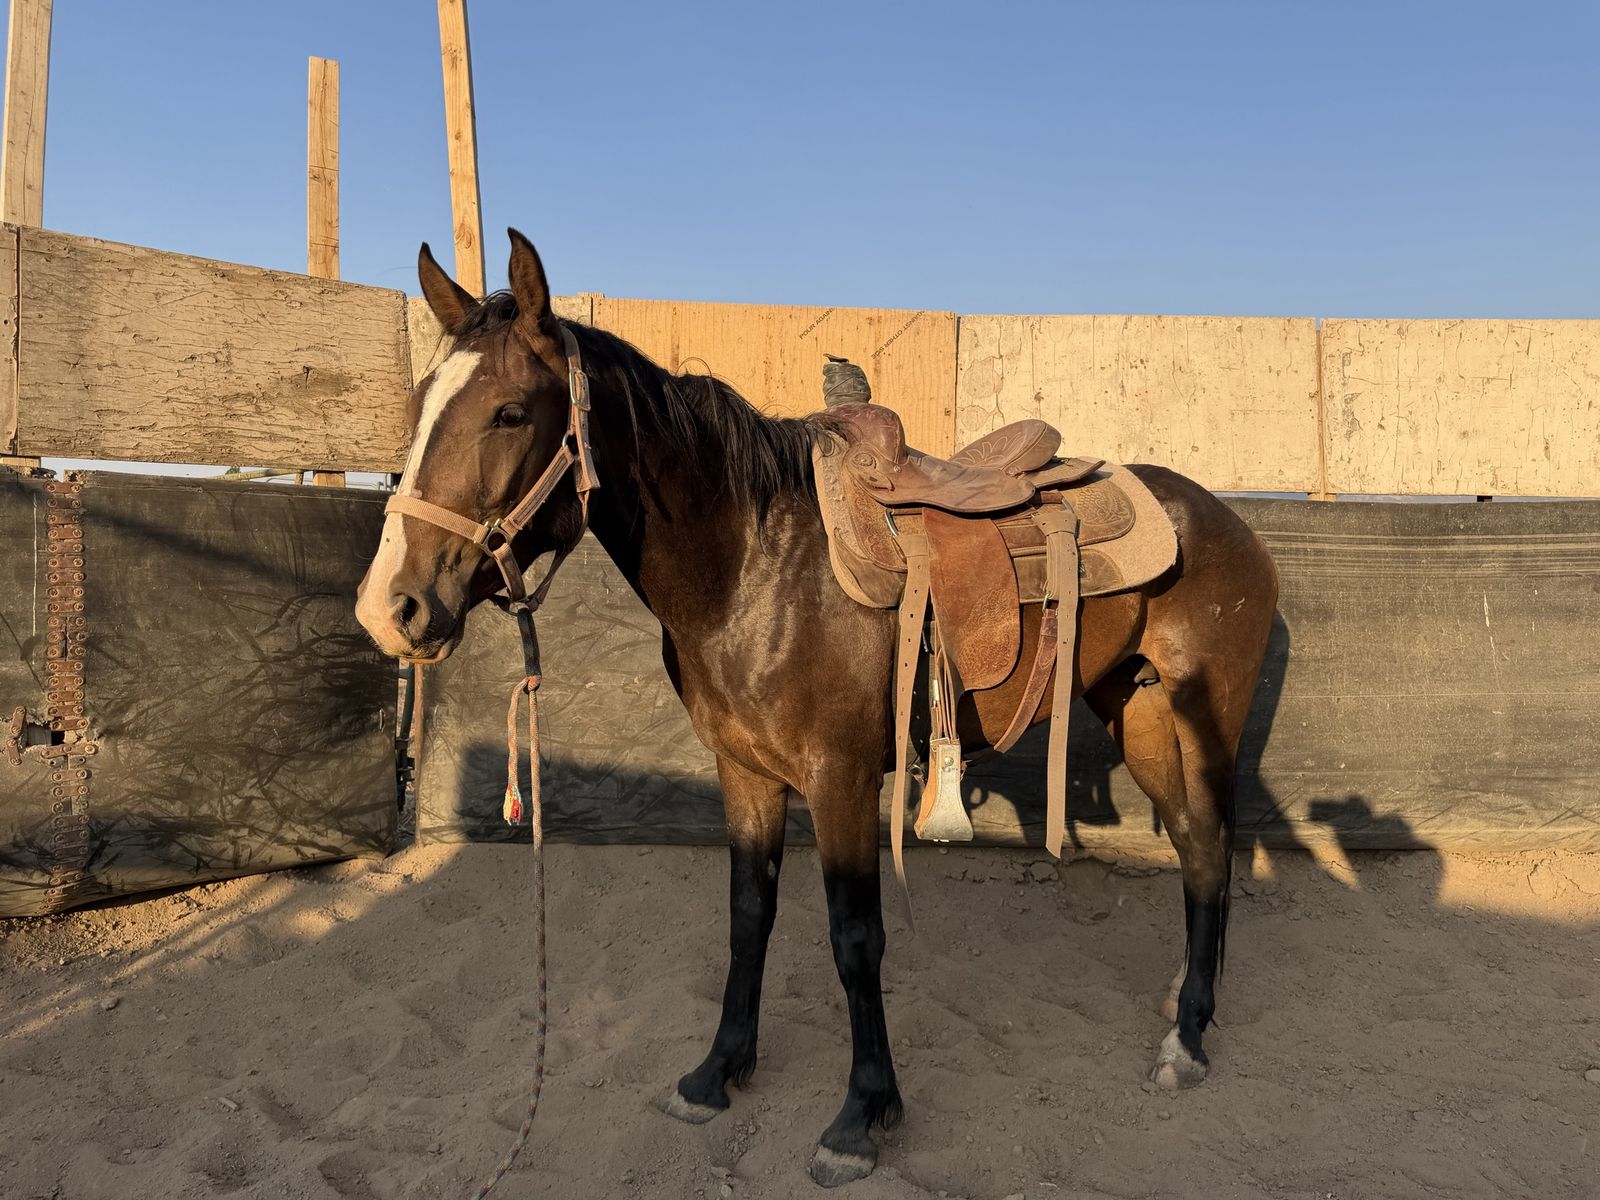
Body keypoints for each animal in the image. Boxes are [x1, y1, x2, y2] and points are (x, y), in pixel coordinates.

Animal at [355, 230, 1280, 1187]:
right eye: (420, 405)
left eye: (508, 413)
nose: (392, 608)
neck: (754, 566)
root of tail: (1221, 519)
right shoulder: (745, 774)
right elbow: (747, 916)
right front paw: (718, 1070)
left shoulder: (839, 778)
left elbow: (854, 937)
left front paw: (861, 1114)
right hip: (1136, 711)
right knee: (1193, 846)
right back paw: (1183, 1005)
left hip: (1205, 718)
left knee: (1212, 846)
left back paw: (1191, 1036)